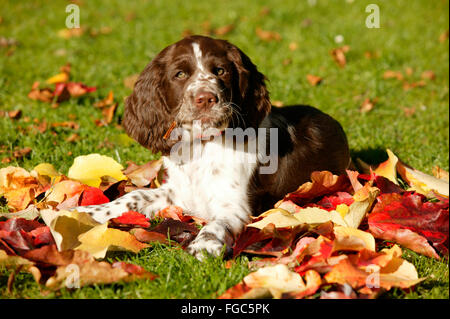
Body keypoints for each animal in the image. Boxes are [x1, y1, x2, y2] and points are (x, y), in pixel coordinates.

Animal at [74, 35, 350, 260]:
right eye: (180, 74)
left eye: (220, 71)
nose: (206, 98)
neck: (203, 146)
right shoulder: (179, 192)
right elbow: (135, 196)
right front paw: (89, 211)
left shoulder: (235, 205)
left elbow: (218, 223)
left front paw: (204, 245)